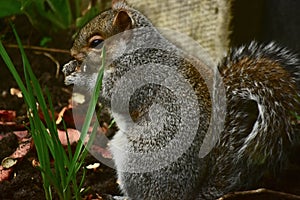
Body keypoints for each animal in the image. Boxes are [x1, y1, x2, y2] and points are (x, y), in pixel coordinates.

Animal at [62, 0, 300, 199]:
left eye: (96, 42)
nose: (71, 53)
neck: (134, 49)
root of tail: (187, 195)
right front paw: (69, 67)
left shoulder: (139, 75)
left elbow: (113, 95)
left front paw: (79, 77)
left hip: (138, 156)